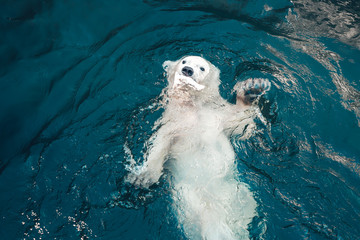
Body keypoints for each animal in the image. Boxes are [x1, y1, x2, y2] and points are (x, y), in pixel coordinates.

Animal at [126, 55, 270, 239]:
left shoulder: (217, 116)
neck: (192, 107)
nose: (187, 70)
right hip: (189, 197)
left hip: (242, 197)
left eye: (201, 67)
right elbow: (159, 144)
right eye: (184, 61)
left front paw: (252, 89)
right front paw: (143, 177)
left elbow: (240, 123)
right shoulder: (172, 124)